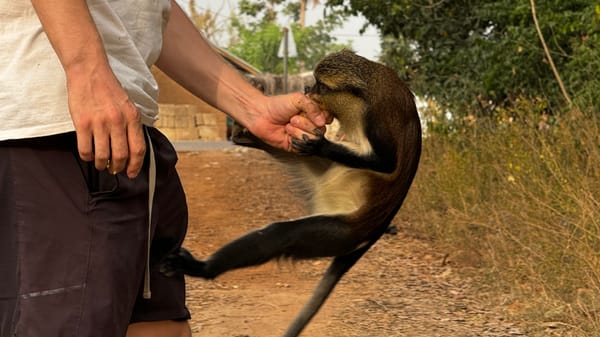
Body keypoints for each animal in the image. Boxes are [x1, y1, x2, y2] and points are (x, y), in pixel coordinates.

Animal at [162, 50, 420, 336]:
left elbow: (386, 163)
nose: (308, 89)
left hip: (340, 232)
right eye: (314, 82)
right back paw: (245, 136)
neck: (366, 91)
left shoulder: (377, 122)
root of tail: (375, 229)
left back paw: (203, 268)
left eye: (321, 85)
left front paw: (320, 145)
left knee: (281, 235)